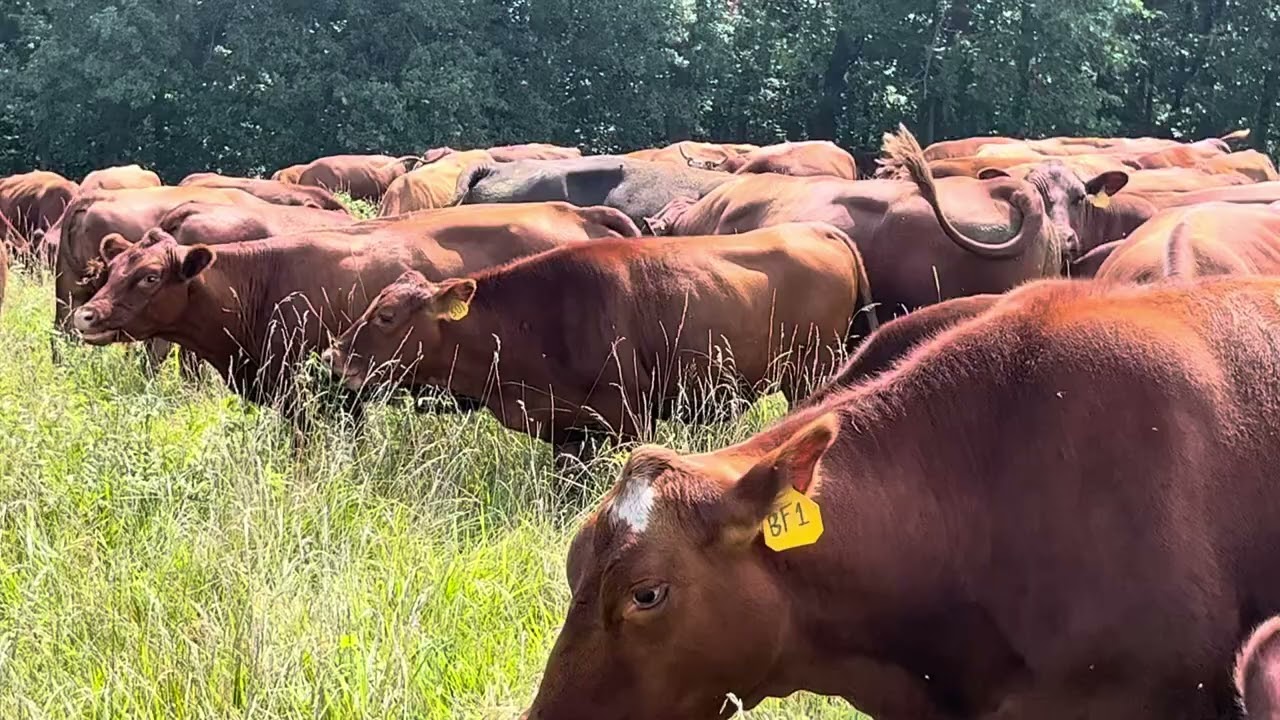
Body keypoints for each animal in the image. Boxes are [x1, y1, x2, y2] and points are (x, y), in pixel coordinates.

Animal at [69, 203, 642, 421]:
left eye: (148, 277)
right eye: (112, 268)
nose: (86, 317)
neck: (265, 280)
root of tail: (575, 209)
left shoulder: (314, 395)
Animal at [320, 222, 875, 458]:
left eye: (386, 315)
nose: (334, 356)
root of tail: (820, 230)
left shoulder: (628, 417)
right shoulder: (569, 432)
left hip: (809, 373)